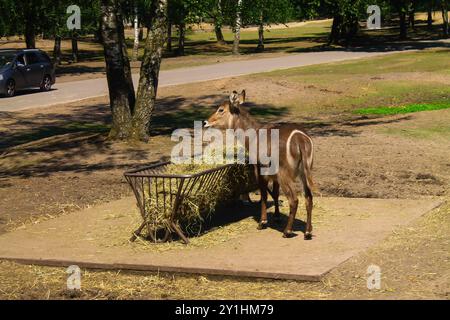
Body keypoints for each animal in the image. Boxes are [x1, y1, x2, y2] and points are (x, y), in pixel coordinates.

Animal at [205, 90, 316, 240]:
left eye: (221, 109)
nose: (206, 122)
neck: (254, 134)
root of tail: (300, 139)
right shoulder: (273, 175)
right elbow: (275, 193)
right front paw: (276, 217)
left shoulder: (259, 169)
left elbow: (264, 194)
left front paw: (262, 222)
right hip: (304, 172)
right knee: (308, 197)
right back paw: (307, 232)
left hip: (285, 174)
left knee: (294, 199)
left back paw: (287, 231)